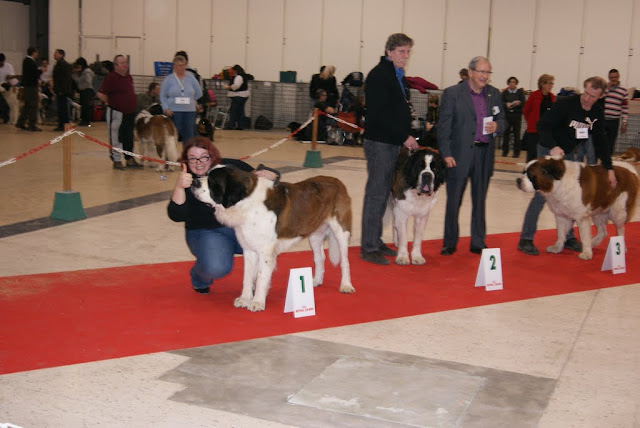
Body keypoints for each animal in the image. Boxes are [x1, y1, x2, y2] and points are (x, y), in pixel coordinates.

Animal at [192, 165, 358, 310]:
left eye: (212, 181)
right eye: (206, 174)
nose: (194, 182)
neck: (246, 203)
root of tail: (336, 181)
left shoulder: (265, 252)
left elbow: (261, 277)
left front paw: (257, 302)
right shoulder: (249, 250)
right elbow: (247, 277)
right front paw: (244, 299)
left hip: (341, 231)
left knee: (345, 261)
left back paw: (346, 285)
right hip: (314, 233)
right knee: (319, 258)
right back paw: (316, 280)